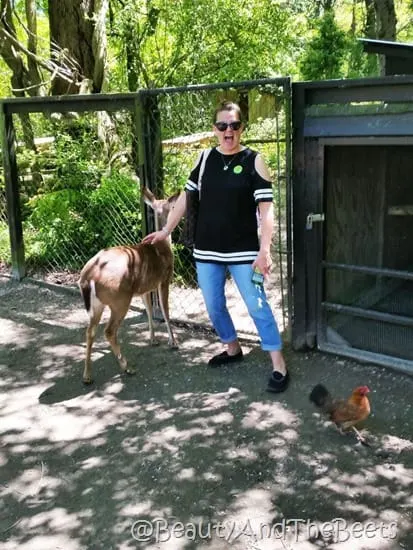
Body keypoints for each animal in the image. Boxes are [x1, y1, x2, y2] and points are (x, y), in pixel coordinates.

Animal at [78, 188, 178, 386]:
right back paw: (127, 367)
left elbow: (149, 310)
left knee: (90, 331)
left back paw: (87, 375)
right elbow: (165, 310)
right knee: (109, 331)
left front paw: (153, 339)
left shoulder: (144, 287)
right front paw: (173, 342)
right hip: (119, 299)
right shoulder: (164, 279)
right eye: (171, 206)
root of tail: (89, 275)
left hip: (97, 304)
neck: (162, 245)